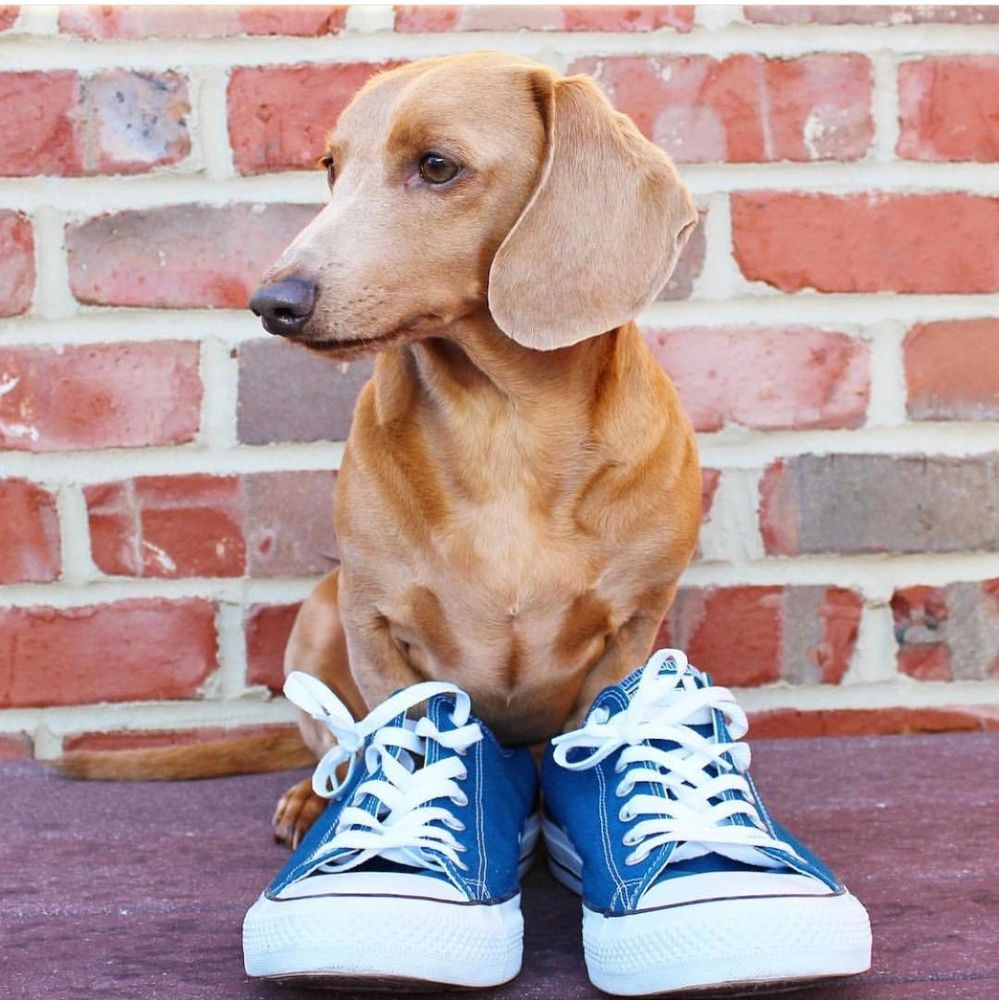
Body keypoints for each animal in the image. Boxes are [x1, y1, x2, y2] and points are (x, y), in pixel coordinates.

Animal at [58, 52, 704, 852]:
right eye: (332, 167)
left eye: (436, 165)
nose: (272, 302)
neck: (503, 425)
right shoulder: (373, 626)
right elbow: (393, 731)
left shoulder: (632, 628)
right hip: (316, 617)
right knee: (338, 745)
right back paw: (313, 800)